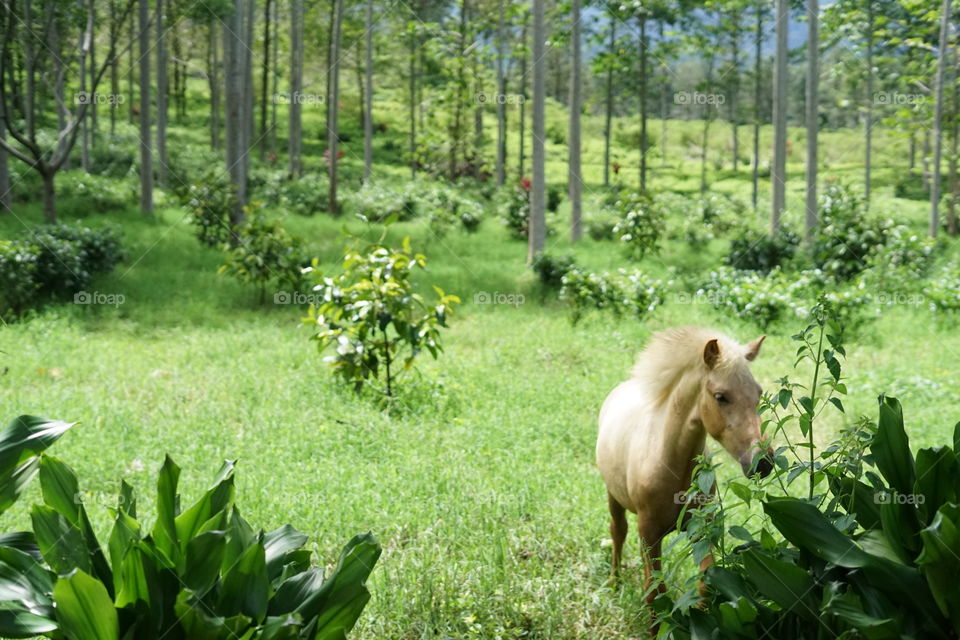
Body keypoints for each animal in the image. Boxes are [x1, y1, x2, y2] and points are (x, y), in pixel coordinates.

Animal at [596, 328, 776, 596]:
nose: (763, 463)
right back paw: (614, 582)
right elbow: (655, 592)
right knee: (618, 531)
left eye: (759, 393)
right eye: (720, 396)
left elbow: (705, 584)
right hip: (613, 496)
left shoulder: (702, 529)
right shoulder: (649, 534)